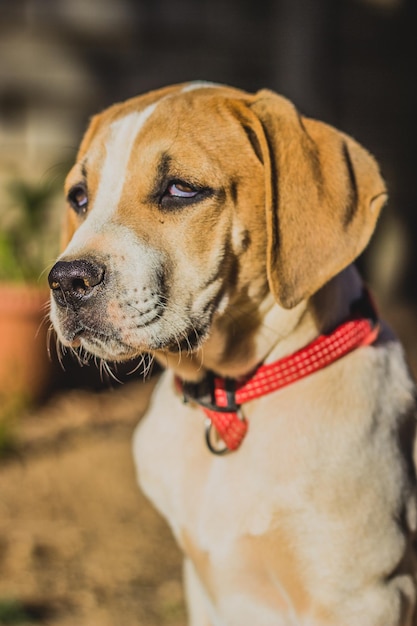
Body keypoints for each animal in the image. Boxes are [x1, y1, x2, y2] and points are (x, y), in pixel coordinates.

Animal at [48, 83, 416, 624]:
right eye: (79, 197)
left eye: (181, 189)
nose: (66, 281)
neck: (232, 394)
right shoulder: (204, 586)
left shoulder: (366, 594)